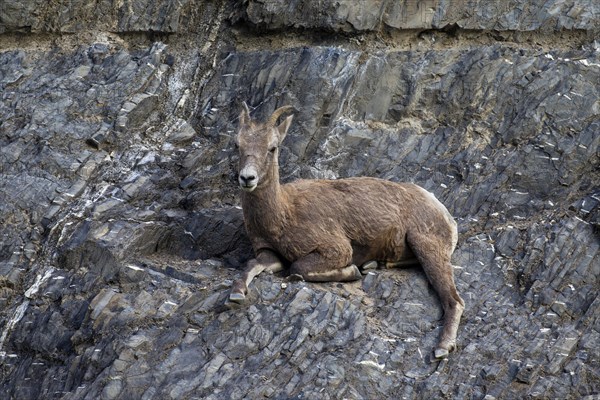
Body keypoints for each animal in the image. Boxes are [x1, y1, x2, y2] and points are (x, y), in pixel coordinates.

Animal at [229, 104, 464, 360]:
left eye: (272, 148)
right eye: (238, 145)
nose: (247, 178)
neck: (282, 213)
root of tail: (442, 211)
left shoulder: (336, 249)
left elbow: (298, 269)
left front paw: (351, 271)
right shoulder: (268, 252)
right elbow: (252, 264)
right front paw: (236, 294)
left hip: (427, 245)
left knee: (454, 301)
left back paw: (442, 347)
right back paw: (374, 263)